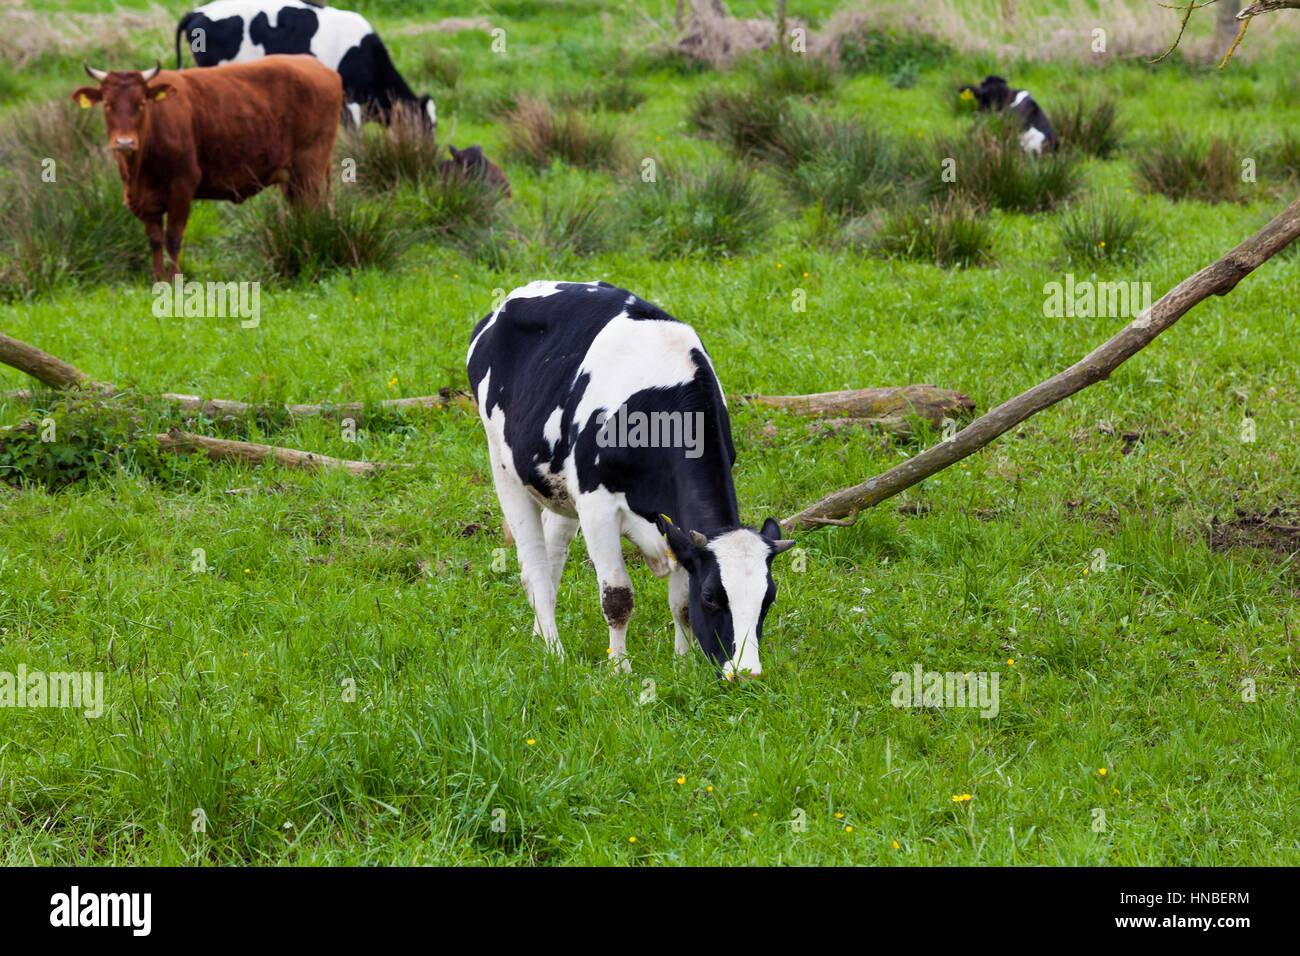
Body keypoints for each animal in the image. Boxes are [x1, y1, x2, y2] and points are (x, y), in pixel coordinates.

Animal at [71, 55, 342, 280]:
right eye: (107, 104)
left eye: (140, 104)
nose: (125, 142)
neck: (138, 171)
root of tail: (317, 64)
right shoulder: (146, 202)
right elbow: (155, 241)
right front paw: (158, 281)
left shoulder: (182, 187)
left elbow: (173, 238)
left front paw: (174, 281)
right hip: (293, 180)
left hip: (310, 171)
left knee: (314, 214)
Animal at [467, 280, 795, 680]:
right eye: (711, 597)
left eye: (768, 599)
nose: (745, 672)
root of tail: (517, 295)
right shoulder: (597, 505)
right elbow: (618, 596)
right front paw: (619, 669)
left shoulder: (672, 526)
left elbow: (680, 603)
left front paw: (681, 663)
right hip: (504, 467)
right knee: (536, 568)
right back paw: (555, 652)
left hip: (561, 490)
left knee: (554, 554)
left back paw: (539, 636)